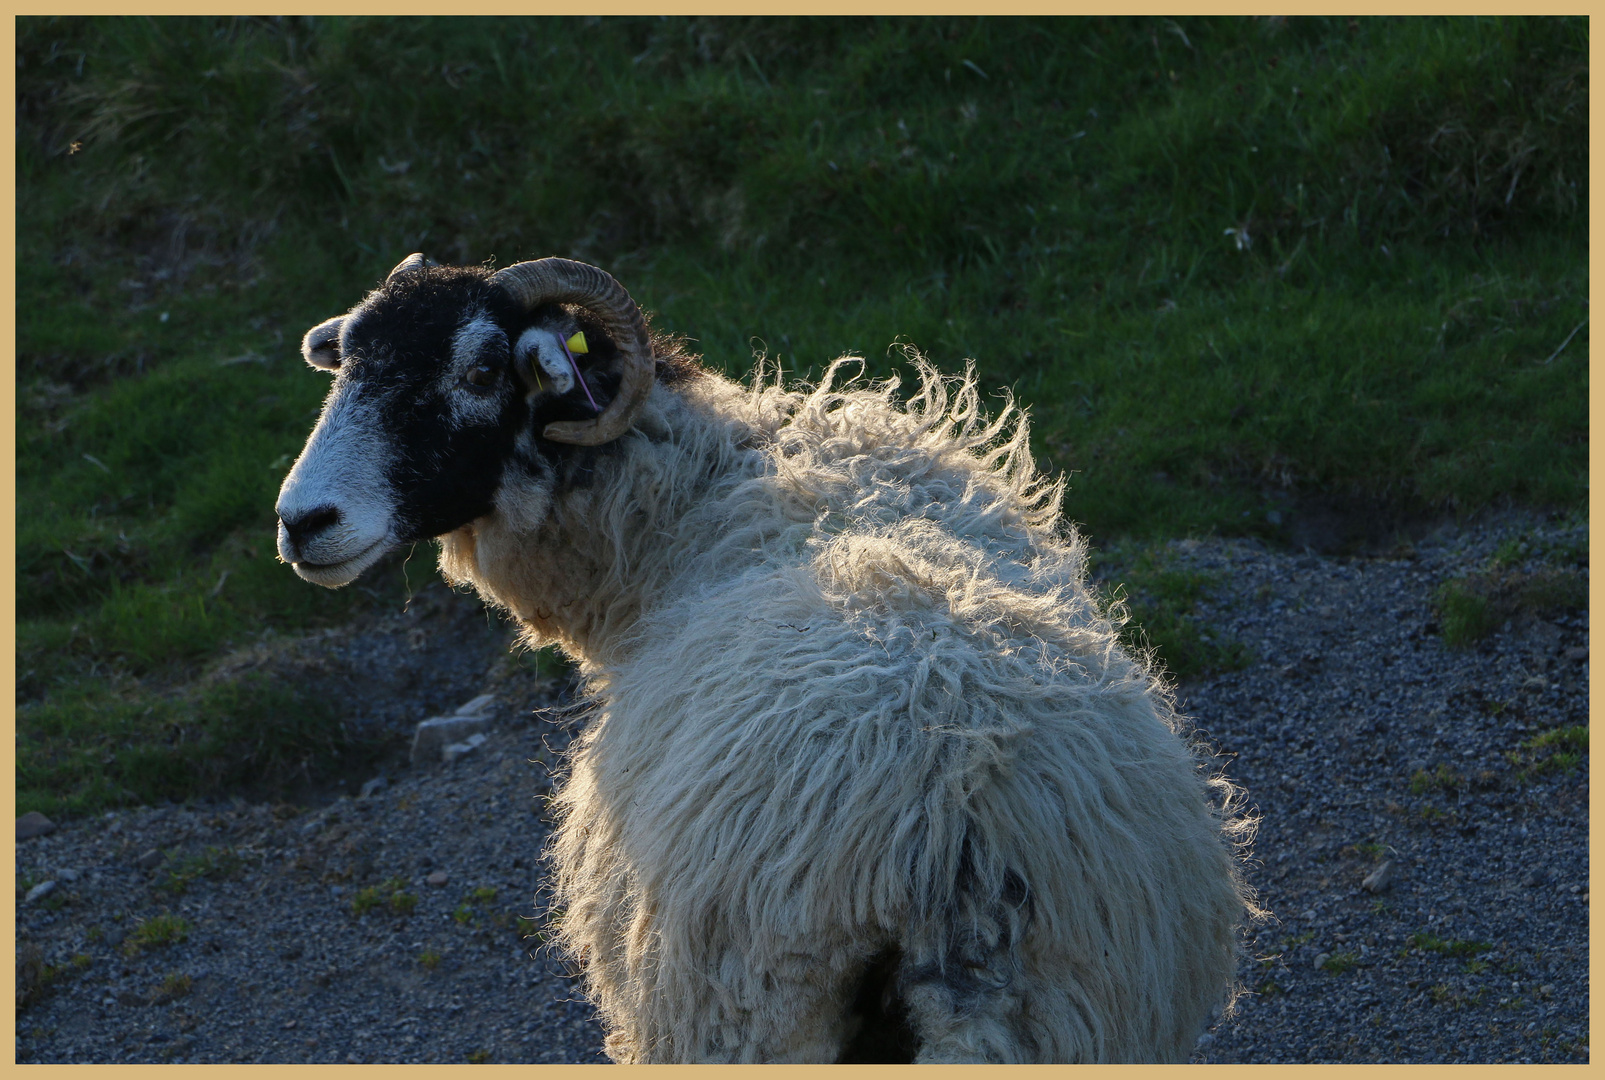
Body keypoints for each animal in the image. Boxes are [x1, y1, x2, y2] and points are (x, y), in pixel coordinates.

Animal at [272, 253, 1251, 1059]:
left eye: (479, 370)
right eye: (348, 359)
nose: (301, 521)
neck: (704, 491)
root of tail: (954, 838)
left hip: (741, 1008)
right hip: (1080, 1012)